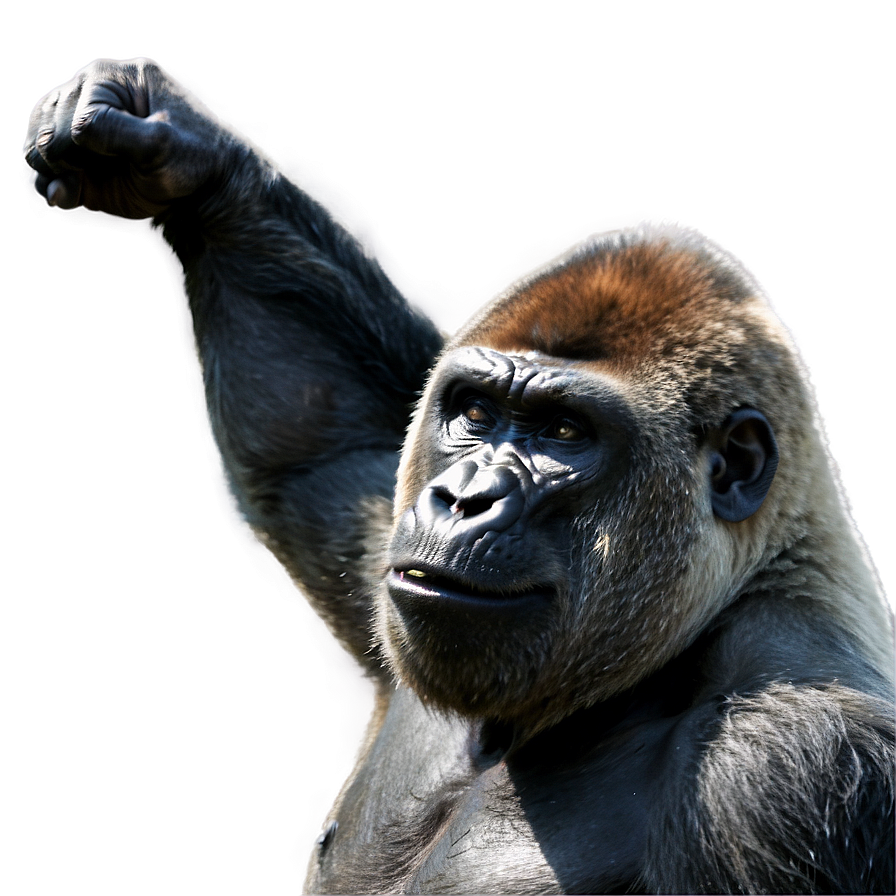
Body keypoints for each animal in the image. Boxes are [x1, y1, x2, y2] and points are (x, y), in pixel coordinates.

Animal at [25, 59, 894, 895]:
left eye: (564, 433)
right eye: (473, 411)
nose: (463, 497)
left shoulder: (792, 765)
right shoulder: (392, 524)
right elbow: (324, 444)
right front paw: (184, 153)